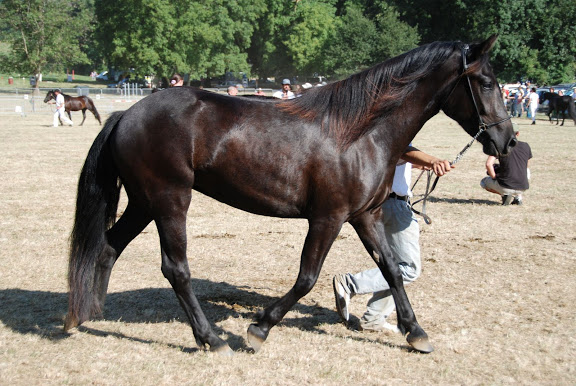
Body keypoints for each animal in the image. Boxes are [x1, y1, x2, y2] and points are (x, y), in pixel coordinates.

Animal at [65, 34, 516, 354]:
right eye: (487, 82)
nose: (507, 141)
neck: (360, 133)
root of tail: (129, 113)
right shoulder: (328, 218)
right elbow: (307, 277)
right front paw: (259, 328)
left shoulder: (364, 216)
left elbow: (391, 269)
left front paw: (416, 332)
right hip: (170, 201)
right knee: (176, 269)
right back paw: (213, 339)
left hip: (144, 203)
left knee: (108, 247)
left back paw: (85, 315)